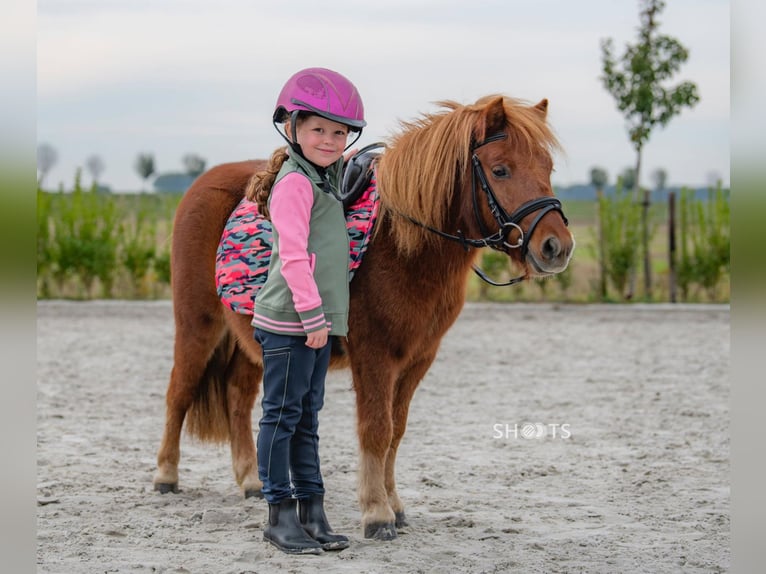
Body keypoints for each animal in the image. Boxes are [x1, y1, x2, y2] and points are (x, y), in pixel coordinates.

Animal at [153, 94, 576, 540]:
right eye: (500, 170)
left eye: (547, 168)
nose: (557, 247)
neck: (402, 243)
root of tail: (203, 184)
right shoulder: (374, 355)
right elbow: (376, 429)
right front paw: (376, 513)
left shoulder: (418, 359)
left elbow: (396, 431)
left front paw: (395, 505)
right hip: (198, 324)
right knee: (179, 391)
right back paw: (166, 475)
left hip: (251, 340)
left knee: (238, 398)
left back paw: (251, 480)